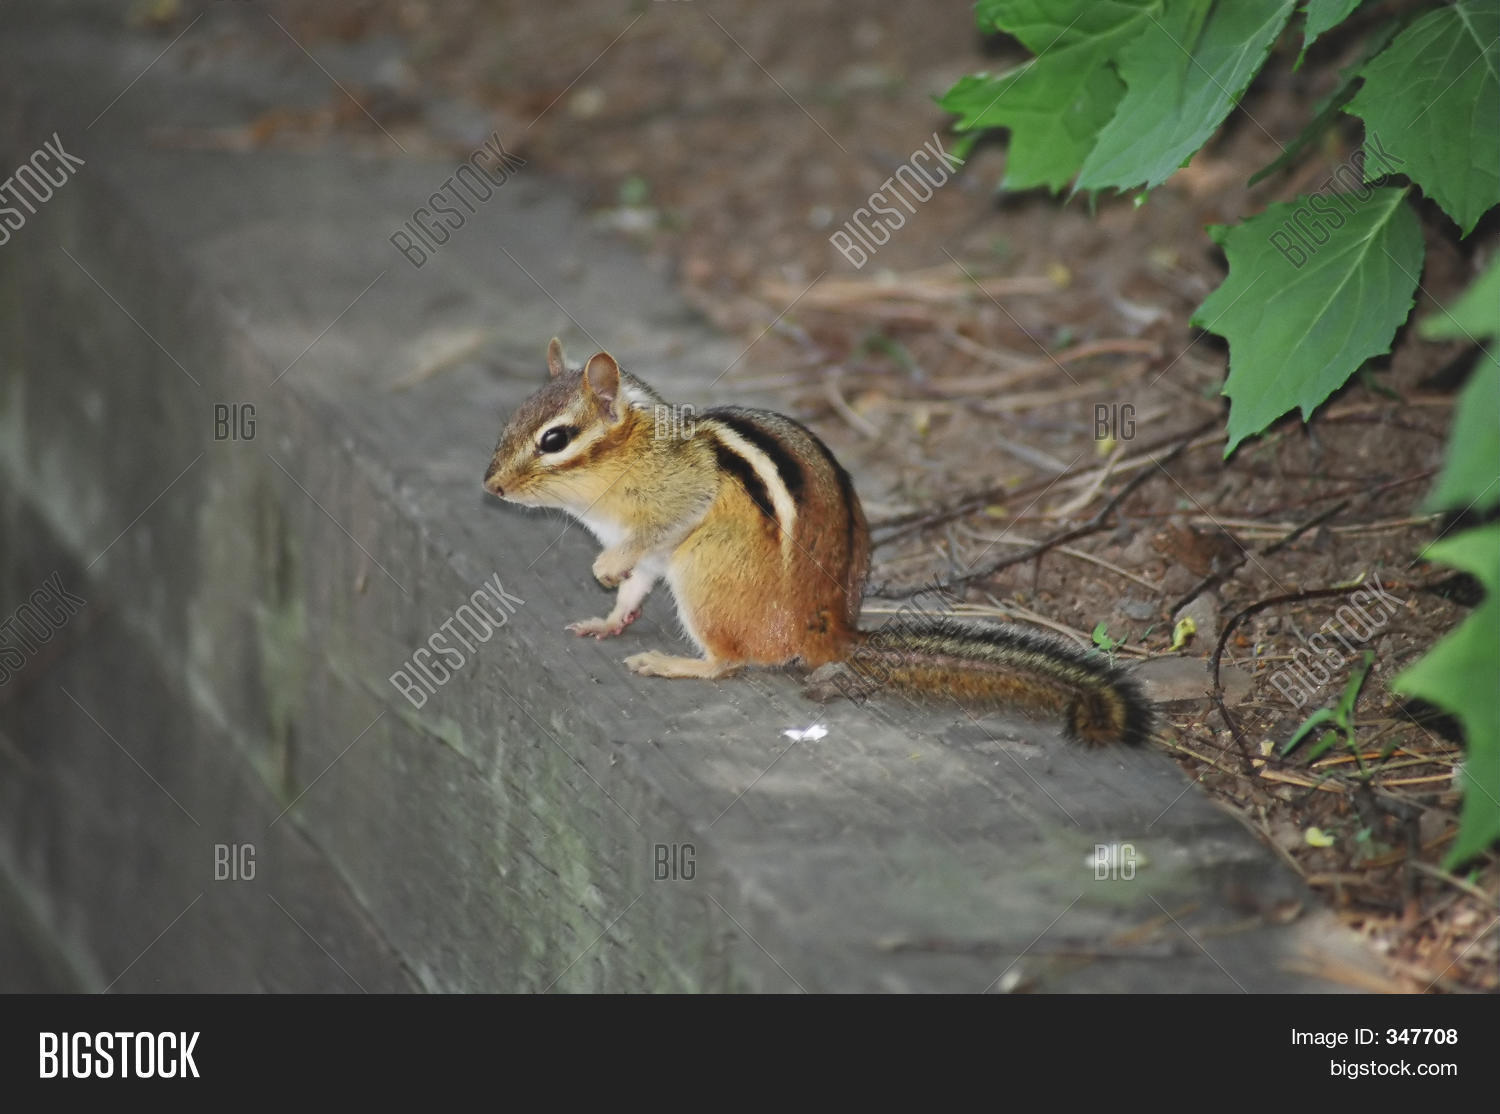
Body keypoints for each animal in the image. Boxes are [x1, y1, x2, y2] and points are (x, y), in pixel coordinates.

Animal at [482, 339, 1152, 746]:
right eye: (511, 421)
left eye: (554, 439)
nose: (490, 485)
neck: (633, 451)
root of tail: (828, 628)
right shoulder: (653, 553)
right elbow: (636, 584)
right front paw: (609, 614)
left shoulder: (678, 506)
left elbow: (654, 534)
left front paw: (604, 568)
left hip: (703, 575)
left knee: (729, 663)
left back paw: (676, 663)